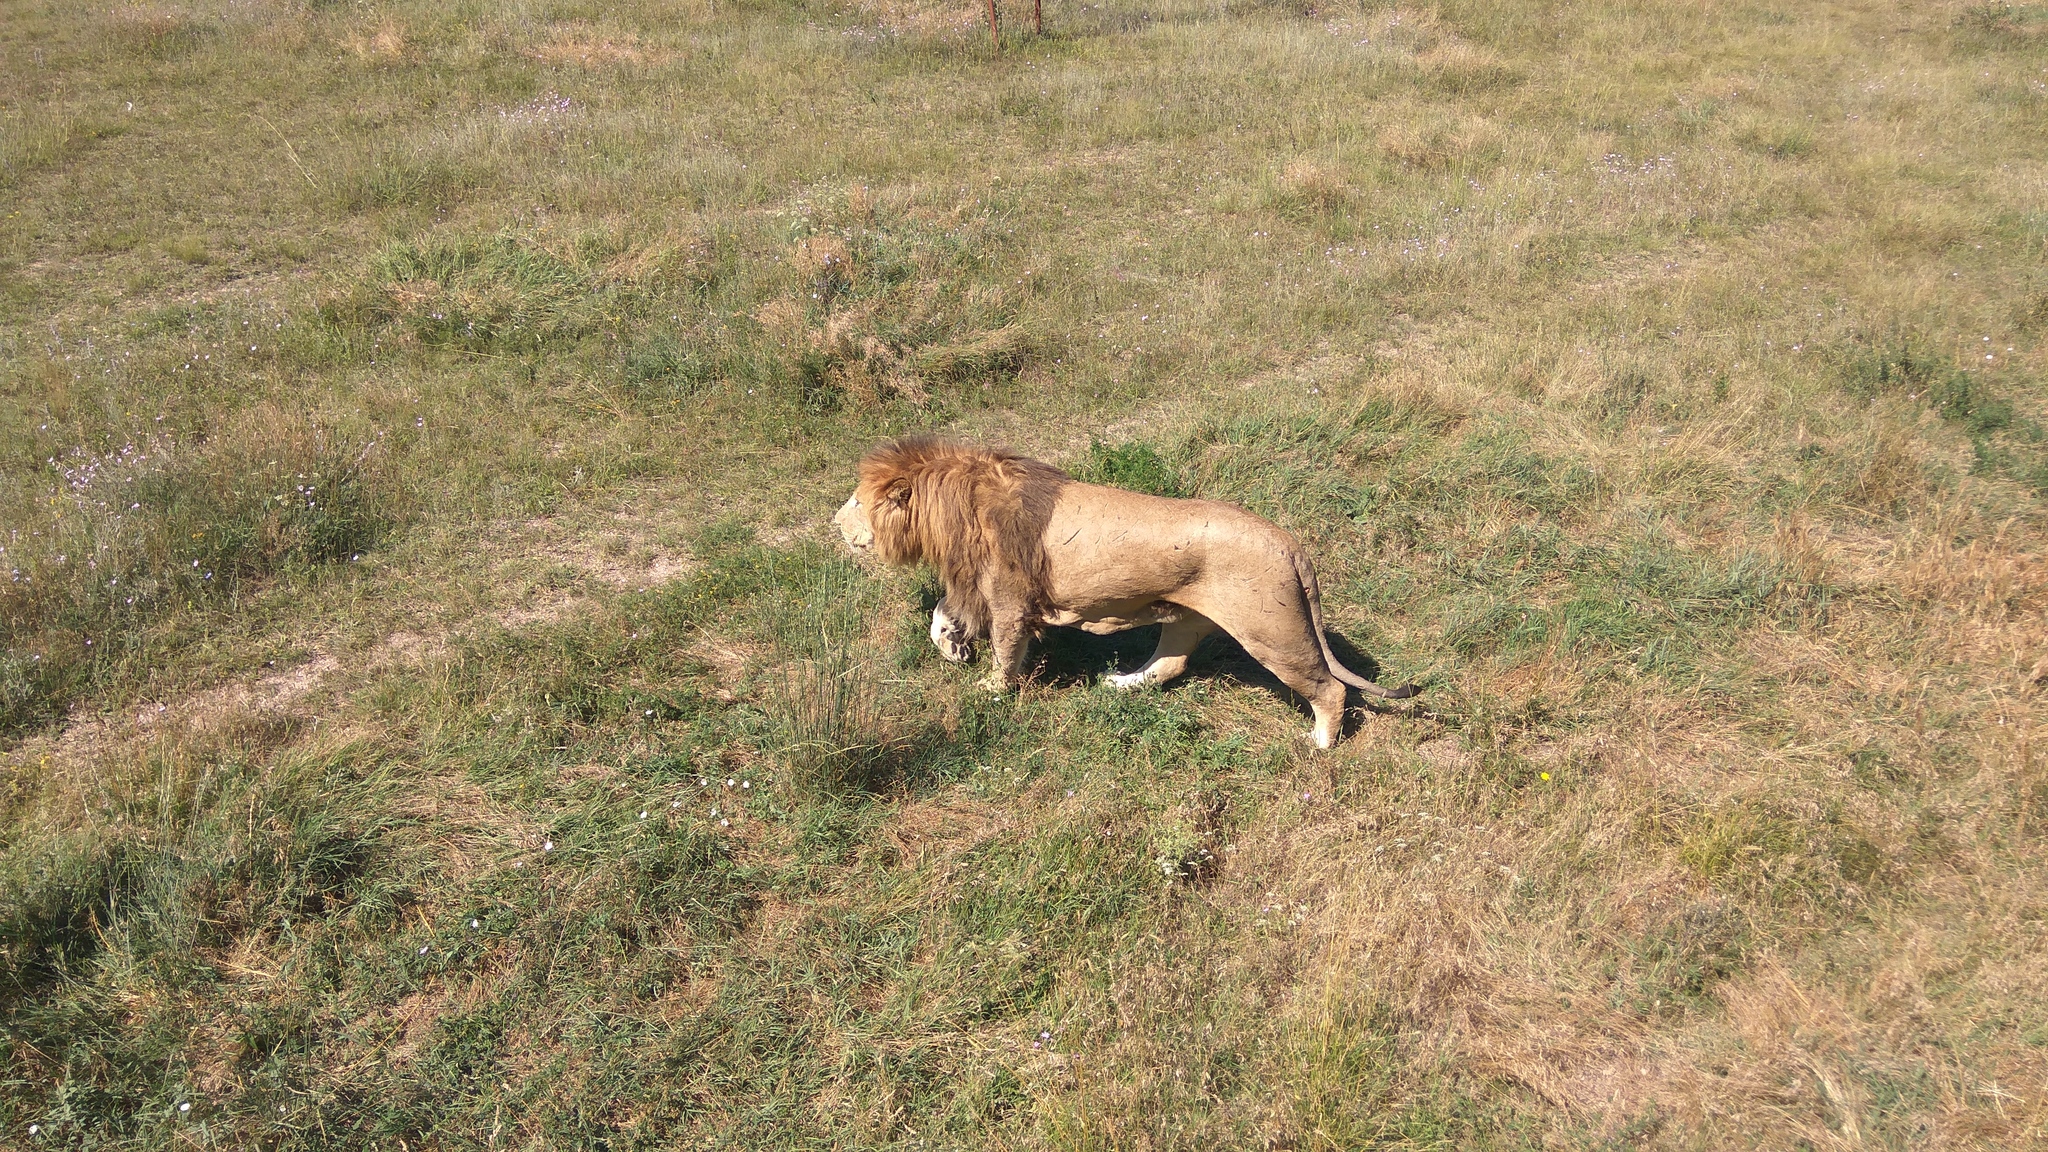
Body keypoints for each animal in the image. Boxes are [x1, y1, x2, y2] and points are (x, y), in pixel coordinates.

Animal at [823, 434, 1417, 750]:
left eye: (855, 502)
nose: (832, 524)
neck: (953, 503)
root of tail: (1292, 544)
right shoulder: (977, 585)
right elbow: (941, 616)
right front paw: (952, 648)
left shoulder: (1010, 599)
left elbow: (1006, 653)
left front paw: (990, 691)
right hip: (1187, 616)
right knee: (1170, 665)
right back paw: (1119, 684)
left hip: (1271, 629)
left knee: (1330, 688)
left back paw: (1319, 744)